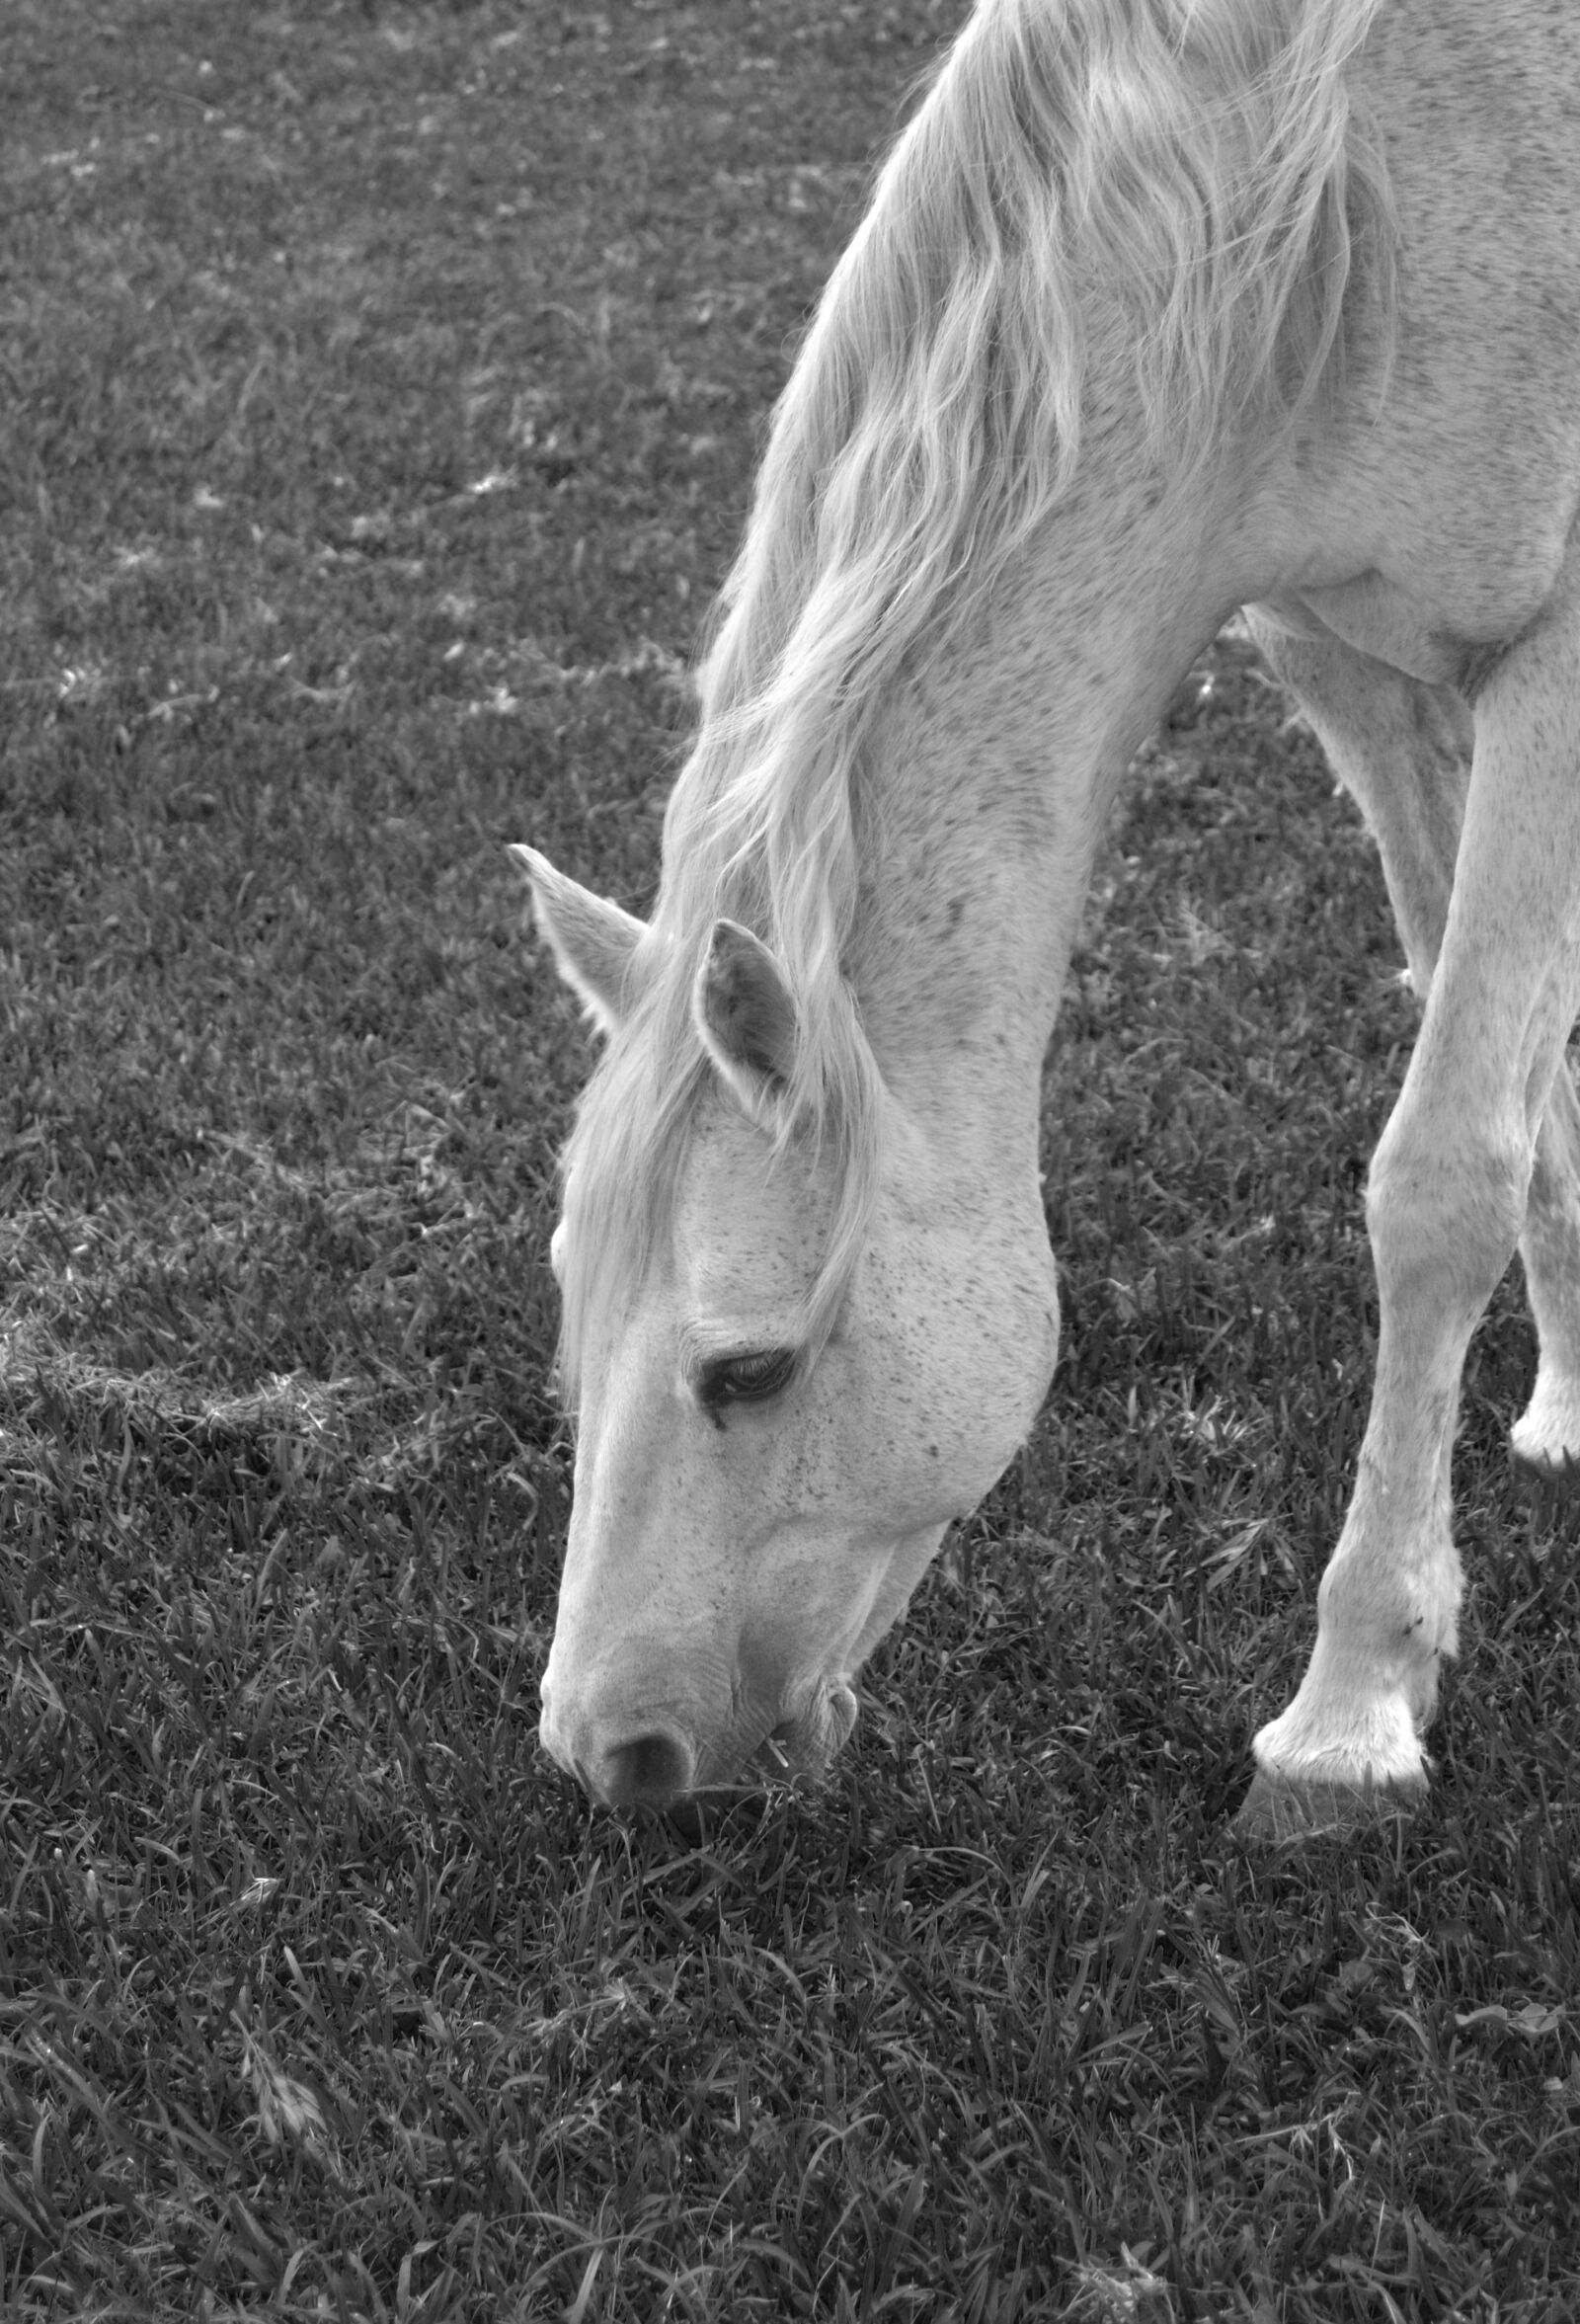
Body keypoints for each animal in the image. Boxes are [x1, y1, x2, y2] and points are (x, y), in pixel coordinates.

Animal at [514, 0, 1580, 1837]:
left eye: (750, 1370)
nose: (608, 1751)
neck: (1346, 177)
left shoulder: (1555, 660)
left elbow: (1443, 1175)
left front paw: (1350, 1716)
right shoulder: (1357, 667)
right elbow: (1529, 1083)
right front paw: (1575, 1403)